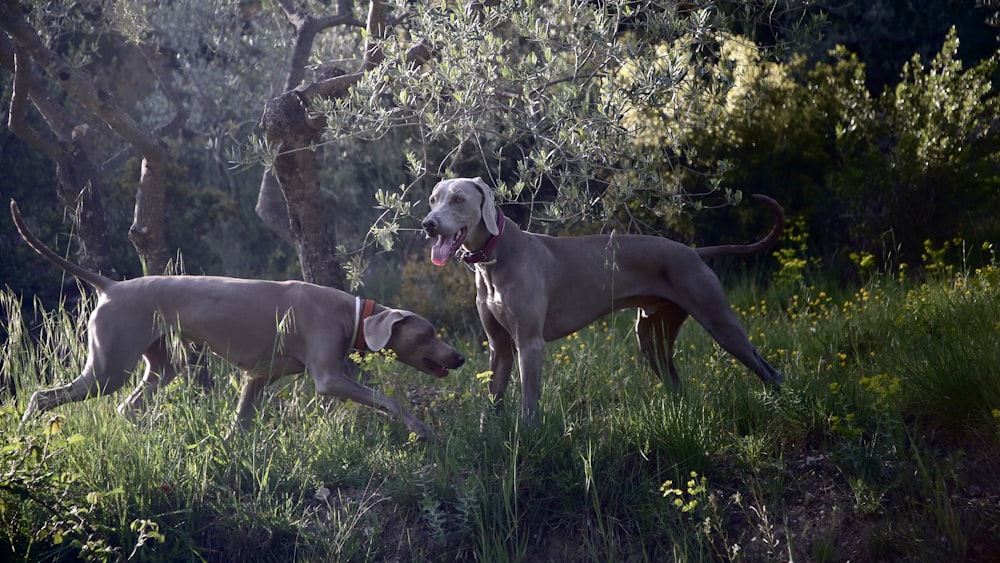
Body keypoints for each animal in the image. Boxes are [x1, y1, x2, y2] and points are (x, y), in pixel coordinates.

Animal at [11, 199, 464, 440]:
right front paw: (422, 429)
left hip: (161, 363)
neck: (351, 313)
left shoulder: (258, 376)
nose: (459, 357)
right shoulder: (328, 378)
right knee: (43, 396)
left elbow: (241, 420)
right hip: (110, 366)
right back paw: (26, 428)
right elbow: (387, 400)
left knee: (130, 405)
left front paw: (230, 446)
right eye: (428, 333)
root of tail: (112, 286)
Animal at [418, 178, 784, 420]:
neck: (495, 259)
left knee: (769, 370)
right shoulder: (500, 347)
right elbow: (492, 401)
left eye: (458, 199)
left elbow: (529, 402)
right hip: (651, 335)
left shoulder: (530, 343)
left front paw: (527, 437)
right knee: (675, 382)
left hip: (720, 322)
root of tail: (694, 252)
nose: (428, 224)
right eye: (433, 199)